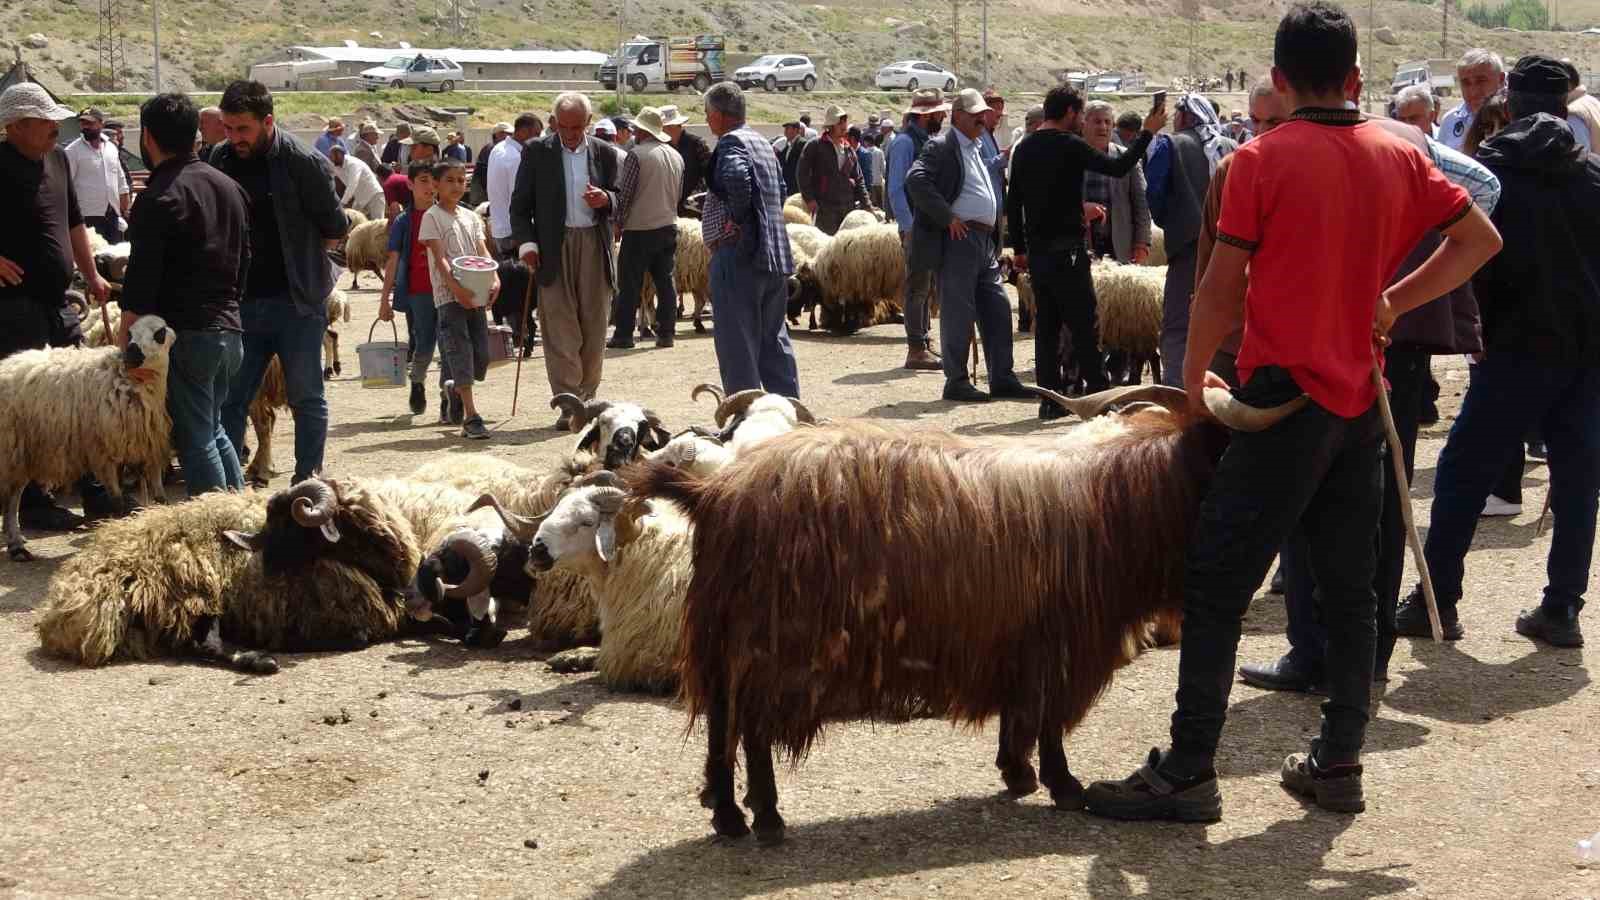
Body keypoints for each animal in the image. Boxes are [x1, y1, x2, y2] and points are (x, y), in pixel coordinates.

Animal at [0, 312, 173, 557]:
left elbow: (160, 496)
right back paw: (16, 543)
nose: (130, 353)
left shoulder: (147, 445)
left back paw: (16, 543)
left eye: (159, 333)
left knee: (13, 497)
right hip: (11, 447)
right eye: (129, 333)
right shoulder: (103, 451)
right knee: (12, 498)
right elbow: (117, 501)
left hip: (22, 451)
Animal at [37, 486, 416, 669]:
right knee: (203, 645)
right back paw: (261, 660)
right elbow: (359, 637)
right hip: (193, 596)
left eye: (287, 523)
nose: (264, 564)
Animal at [617, 379, 1305, 839]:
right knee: (753, 725)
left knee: (722, 717)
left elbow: (1020, 715)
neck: (1118, 502)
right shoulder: (1059, 640)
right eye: (1228, 453)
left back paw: (725, 811)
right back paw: (765, 815)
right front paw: (1063, 786)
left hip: (724, 633)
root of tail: (716, 493)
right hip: (777, 639)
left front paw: (1018, 774)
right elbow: (1048, 720)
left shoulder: (1018, 637)